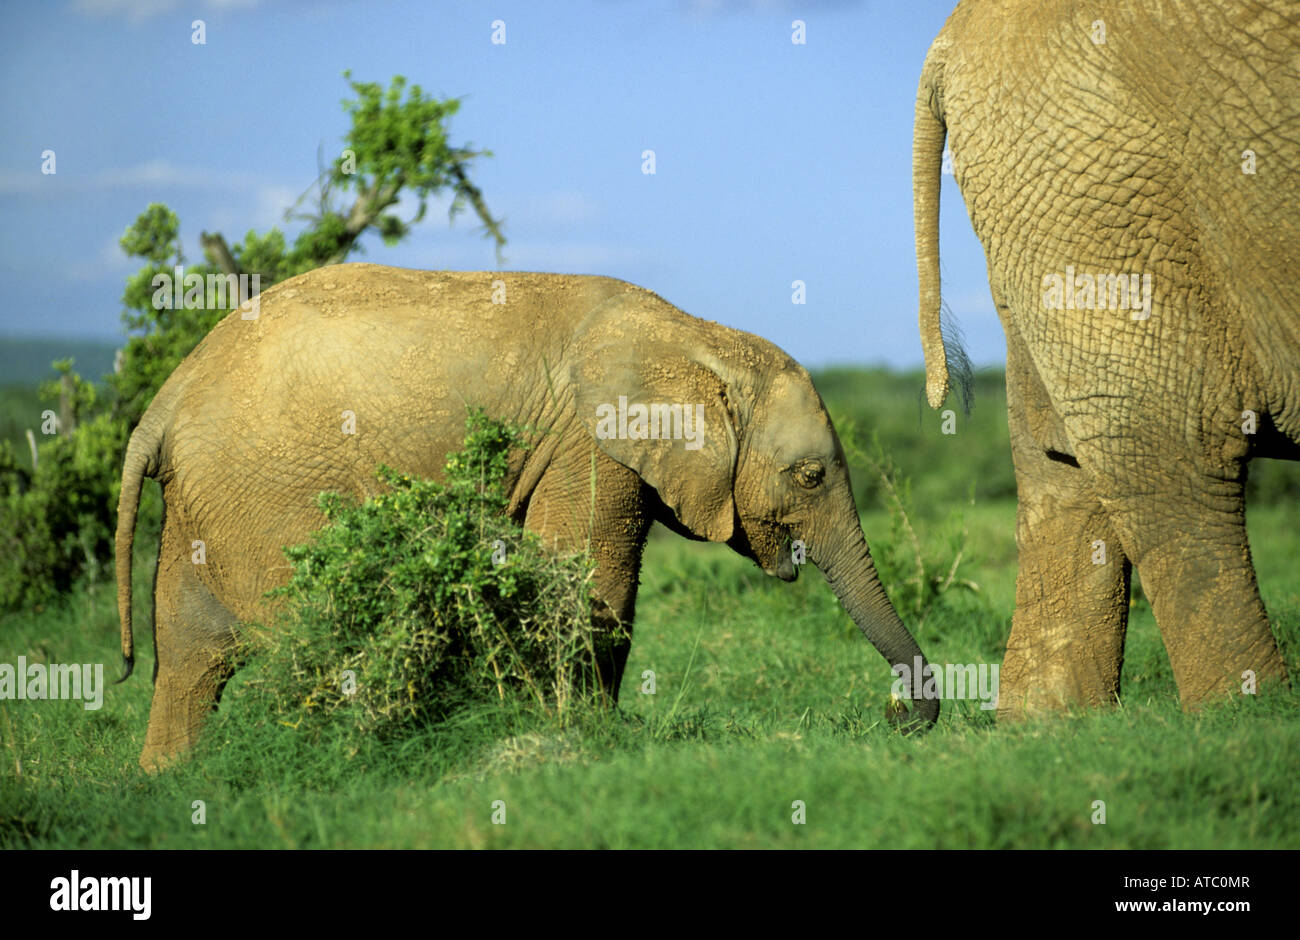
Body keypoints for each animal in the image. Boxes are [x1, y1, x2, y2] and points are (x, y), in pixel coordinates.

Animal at [116, 261, 941, 769]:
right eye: (810, 476)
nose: (898, 718)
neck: (704, 340)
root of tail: (168, 395)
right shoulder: (589, 440)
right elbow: (596, 583)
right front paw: (592, 737)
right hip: (269, 492)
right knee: (308, 636)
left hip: (208, 500)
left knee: (190, 649)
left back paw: (170, 779)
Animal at [909, 1, 1294, 722]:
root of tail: (945, 44)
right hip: (1100, 184)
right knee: (1173, 448)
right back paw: (1247, 716)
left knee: (1060, 462)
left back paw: (1047, 726)